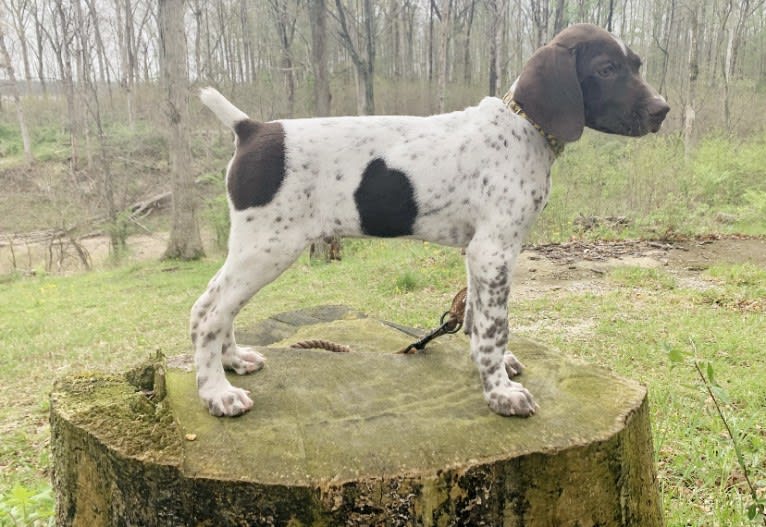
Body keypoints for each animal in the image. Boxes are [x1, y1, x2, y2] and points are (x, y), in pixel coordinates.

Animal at [194, 24, 672, 418]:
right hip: (269, 247)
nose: (662, 110)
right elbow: (495, 327)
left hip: (254, 247)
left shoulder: (478, 253)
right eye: (606, 69)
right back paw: (217, 393)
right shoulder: (494, 251)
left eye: (636, 66)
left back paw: (234, 360)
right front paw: (499, 392)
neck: (523, 128)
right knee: (211, 314)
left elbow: (478, 317)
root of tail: (252, 129)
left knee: (213, 307)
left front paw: (494, 367)